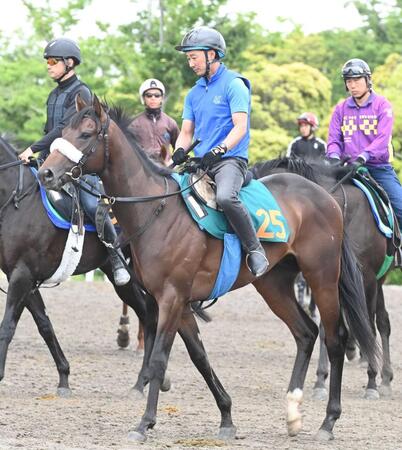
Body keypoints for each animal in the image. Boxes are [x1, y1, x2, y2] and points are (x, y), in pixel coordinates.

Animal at [253, 156, 394, 400]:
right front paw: (320, 380)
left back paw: (382, 377)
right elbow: (324, 326)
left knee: (381, 322)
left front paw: (371, 382)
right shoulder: (323, 279)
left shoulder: (366, 278)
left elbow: (369, 325)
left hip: (377, 280)